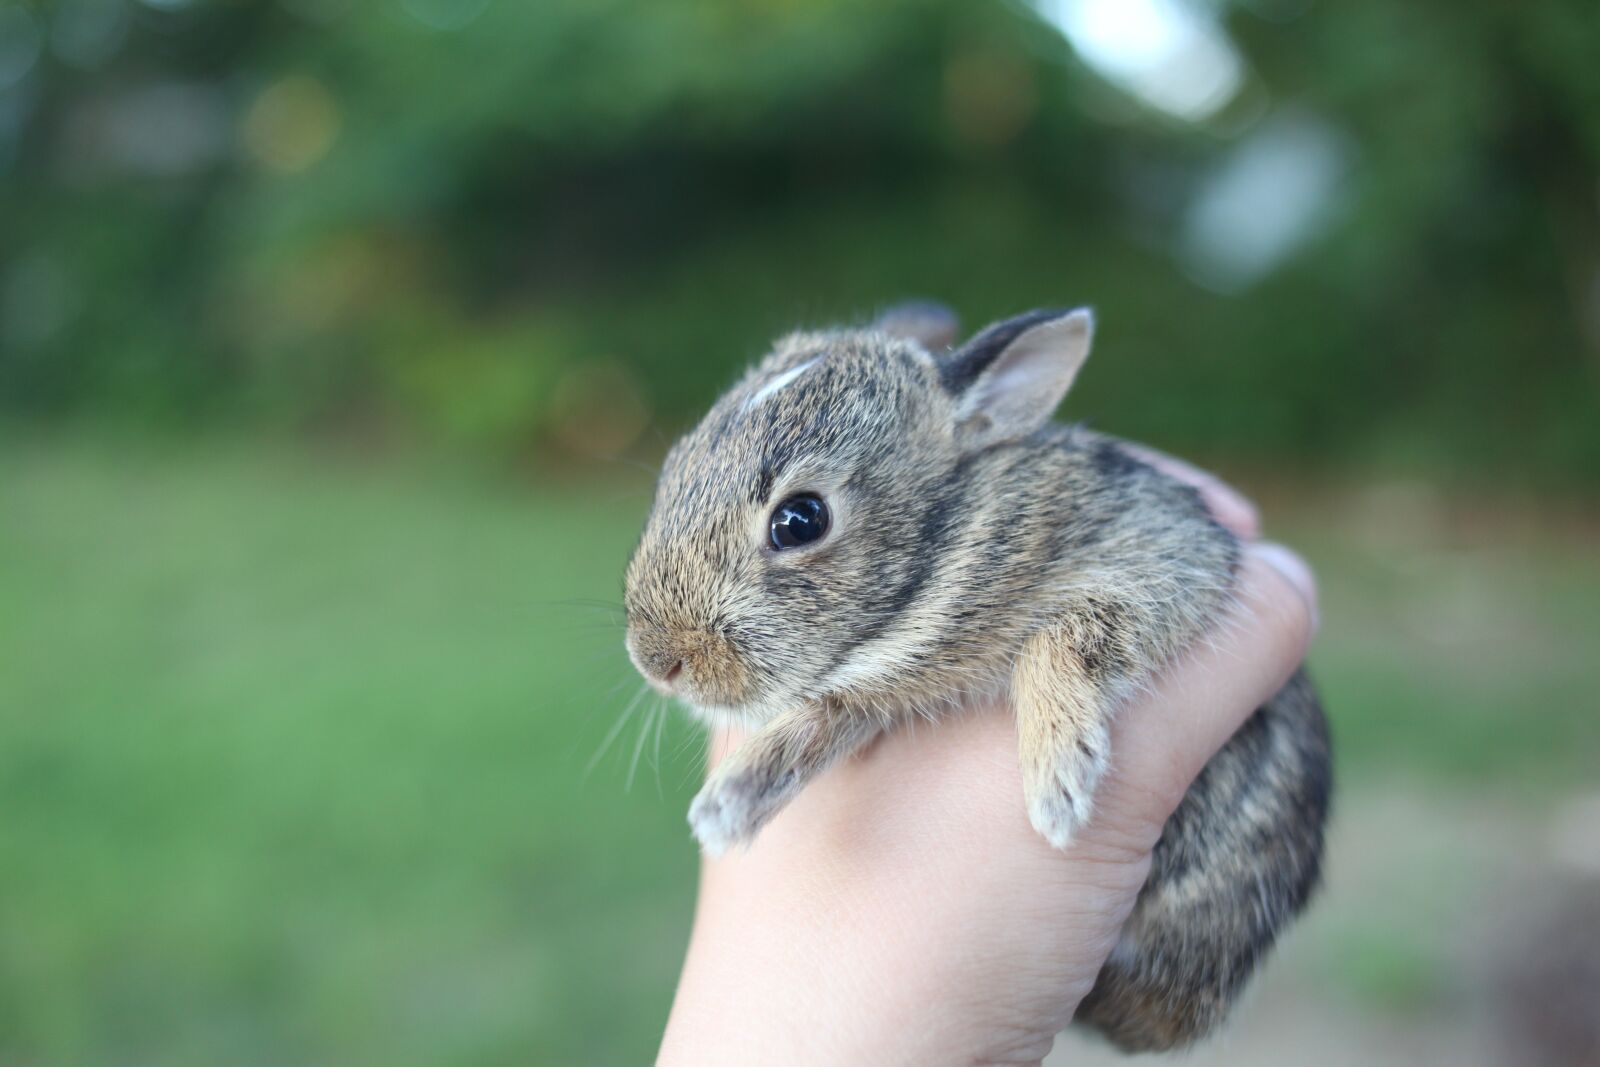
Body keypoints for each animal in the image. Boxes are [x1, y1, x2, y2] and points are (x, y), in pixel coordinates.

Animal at [623, 303, 1332, 1051]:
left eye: (801, 519)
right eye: (674, 468)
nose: (657, 660)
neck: (946, 542)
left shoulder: (1162, 557)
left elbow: (1064, 640)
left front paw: (1057, 787)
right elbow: (828, 713)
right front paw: (728, 805)